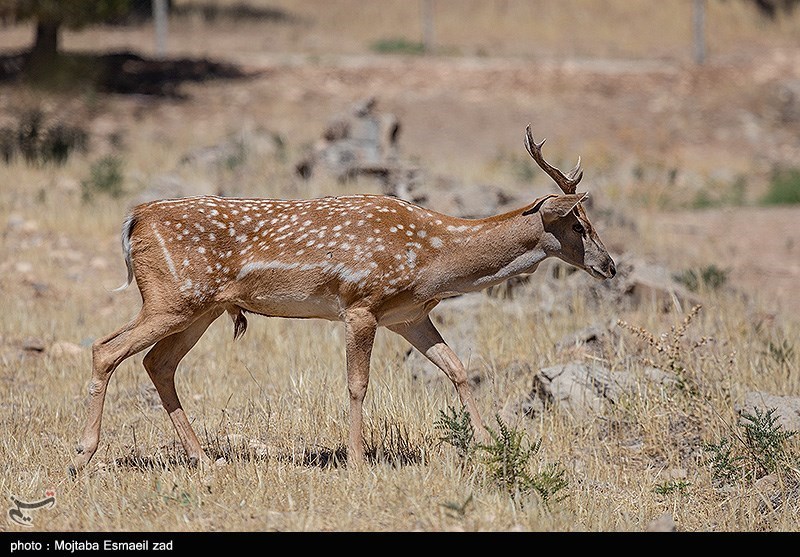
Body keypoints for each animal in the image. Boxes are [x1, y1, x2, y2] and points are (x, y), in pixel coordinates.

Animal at [70, 126, 620, 474]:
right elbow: (358, 384)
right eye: (578, 223)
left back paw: (204, 459)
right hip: (171, 297)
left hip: (198, 308)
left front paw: (489, 445)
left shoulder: (408, 315)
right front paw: (357, 461)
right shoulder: (361, 304)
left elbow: (459, 368)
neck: (434, 258)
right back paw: (82, 456)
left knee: (157, 362)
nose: (611, 266)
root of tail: (135, 218)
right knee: (105, 348)